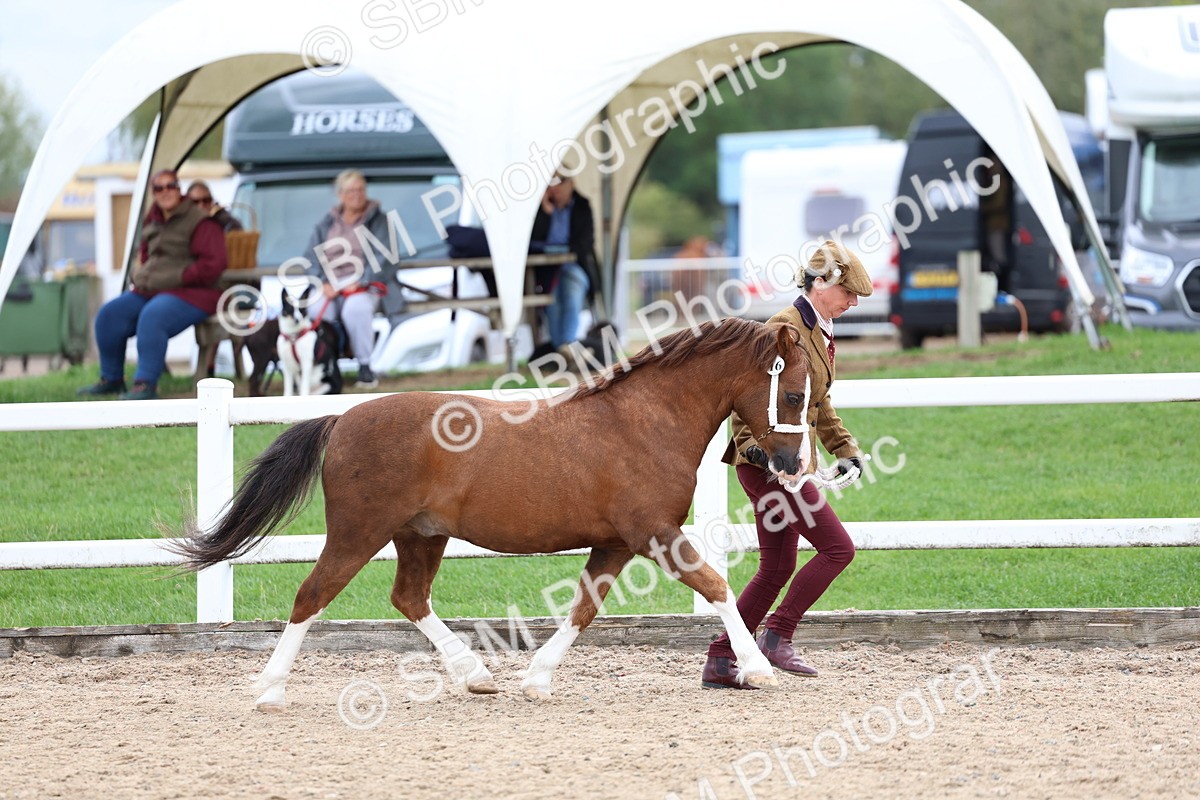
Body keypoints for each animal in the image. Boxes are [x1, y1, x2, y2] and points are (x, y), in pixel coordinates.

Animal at [169, 317, 816, 709]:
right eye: (792, 393)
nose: (790, 463)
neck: (645, 420)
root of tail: (341, 419)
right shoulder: (653, 534)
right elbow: (716, 586)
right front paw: (757, 669)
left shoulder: (615, 543)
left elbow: (583, 609)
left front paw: (536, 679)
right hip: (357, 533)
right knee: (312, 595)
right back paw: (270, 690)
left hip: (419, 535)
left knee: (409, 597)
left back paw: (475, 675)